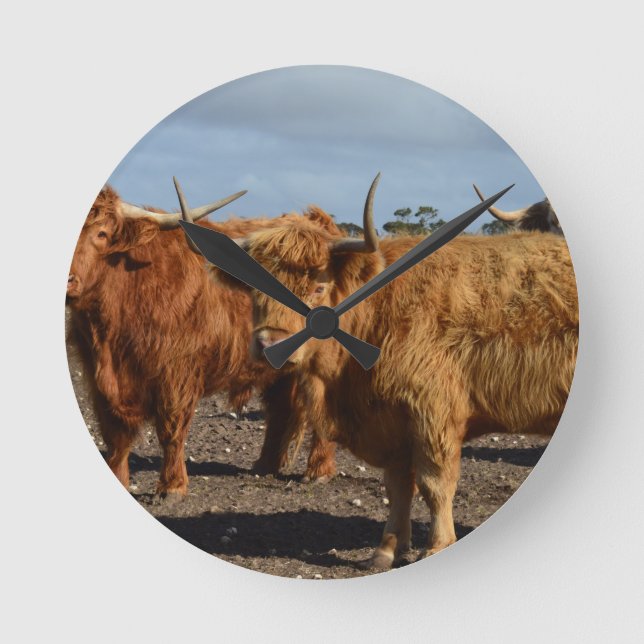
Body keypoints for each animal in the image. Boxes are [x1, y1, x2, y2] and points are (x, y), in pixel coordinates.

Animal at [66, 183, 315, 498]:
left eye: (101, 233)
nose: (68, 281)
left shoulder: (177, 374)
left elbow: (171, 430)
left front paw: (172, 487)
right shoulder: (98, 379)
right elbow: (116, 436)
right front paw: (120, 479)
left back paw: (317, 472)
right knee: (280, 411)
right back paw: (264, 465)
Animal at [218, 177, 578, 568]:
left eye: (318, 287)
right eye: (254, 289)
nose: (269, 344)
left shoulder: (434, 414)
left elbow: (435, 484)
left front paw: (437, 545)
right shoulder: (392, 421)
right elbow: (398, 487)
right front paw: (387, 549)